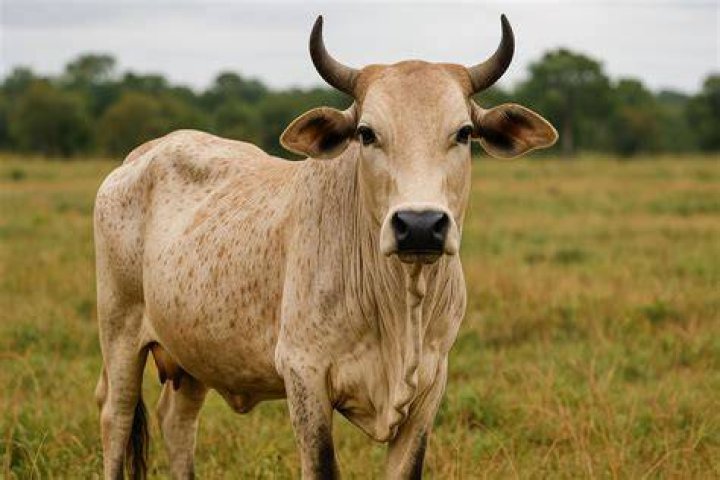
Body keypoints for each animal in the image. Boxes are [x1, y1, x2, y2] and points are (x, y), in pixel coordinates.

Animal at [94, 14, 557, 479]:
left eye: (463, 133)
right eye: (367, 134)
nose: (420, 226)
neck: (399, 303)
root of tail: (144, 152)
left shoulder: (430, 385)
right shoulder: (304, 375)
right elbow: (321, 465)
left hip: (193, 355)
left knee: (177, 421)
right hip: (119, 329)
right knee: (116, 418)